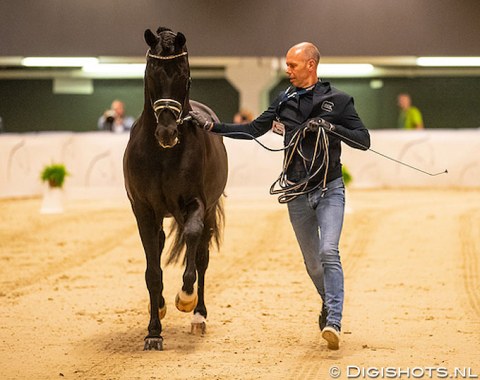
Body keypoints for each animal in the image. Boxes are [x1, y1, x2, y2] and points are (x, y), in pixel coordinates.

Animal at [124, 26, 229, 350]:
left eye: (184, 74)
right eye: (152, 73)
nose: (167, 133)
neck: (162, 155)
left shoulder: (195, 203)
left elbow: (193, 241)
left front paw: (185, 297)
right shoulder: (144, 211)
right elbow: (152, 271)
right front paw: (153, 332)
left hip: (207, 211)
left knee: (202, 256)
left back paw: (198, 316)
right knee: (158, 248)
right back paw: (158, 306)